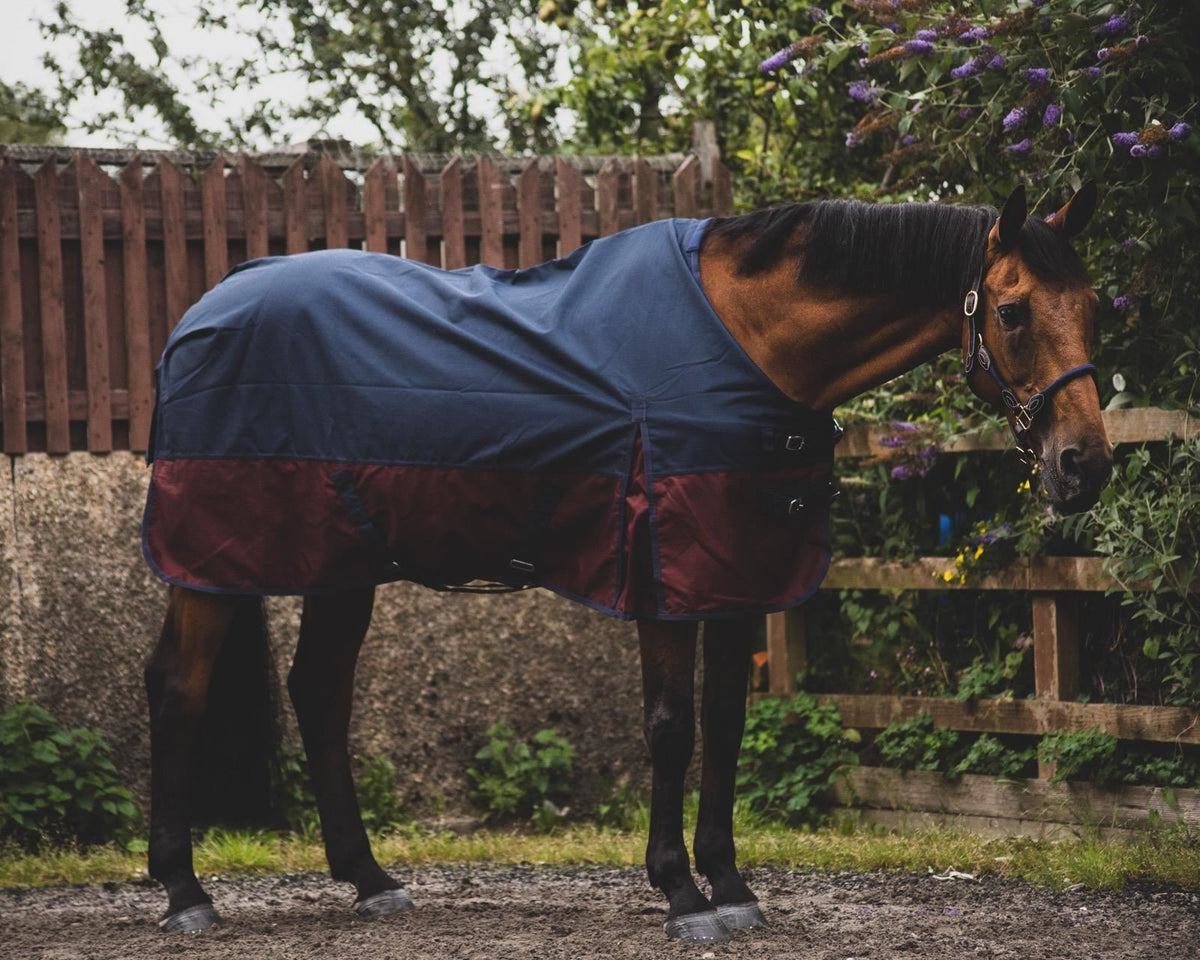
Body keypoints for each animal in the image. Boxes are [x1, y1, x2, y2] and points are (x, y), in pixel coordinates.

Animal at [142, 182, 1111, 942]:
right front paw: (681, 893)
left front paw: (731, 885)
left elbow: (726, 724)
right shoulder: (665, 575)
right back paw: (185, 892)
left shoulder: (735, 572)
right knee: (181, 687)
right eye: (1014, 311)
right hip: (211, 563)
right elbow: (671, 726)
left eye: (1095, 304)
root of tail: (197, 315)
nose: (1084, 465)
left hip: (343, 563)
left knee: (317, 692)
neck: (746, 340)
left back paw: (370, 881)